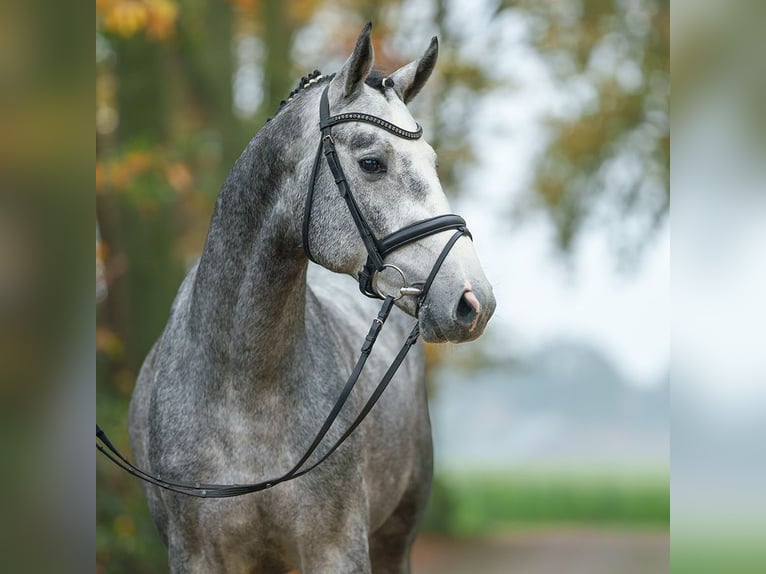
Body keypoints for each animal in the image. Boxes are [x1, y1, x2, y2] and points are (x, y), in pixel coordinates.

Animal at [129, 24, 496, 574]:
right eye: (372, 163)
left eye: (433, 163)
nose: (473, 301)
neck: (243, 391)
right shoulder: (195, 556)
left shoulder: (337, 550)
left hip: (396, 538)